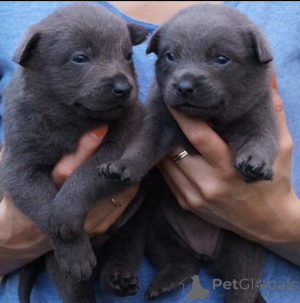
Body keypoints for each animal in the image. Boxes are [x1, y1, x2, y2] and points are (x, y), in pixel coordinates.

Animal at [1, 1, 149, 302]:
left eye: (128, 55)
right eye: (80, 58)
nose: (123, 87)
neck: (72, 120)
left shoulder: (123, 142)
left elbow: (86, 174)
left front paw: (66, 211)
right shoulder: (19, 167)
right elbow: (43, 205)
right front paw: (72, 247)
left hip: (135, 222)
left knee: (126, 247)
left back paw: (119, 278)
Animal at [100, 3, 276, 302]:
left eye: (221, 58)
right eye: (170, 56)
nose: (184, 86)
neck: (210, 119)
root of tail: (205, 253)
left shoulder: (258, 113)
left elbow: (260, 139)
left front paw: (255, 163)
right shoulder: (159, 119)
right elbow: (143, 145)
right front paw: (123, 165)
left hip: (242, 241)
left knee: (242, 285)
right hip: (159, 227)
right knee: (181, 261)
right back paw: (169, 280)